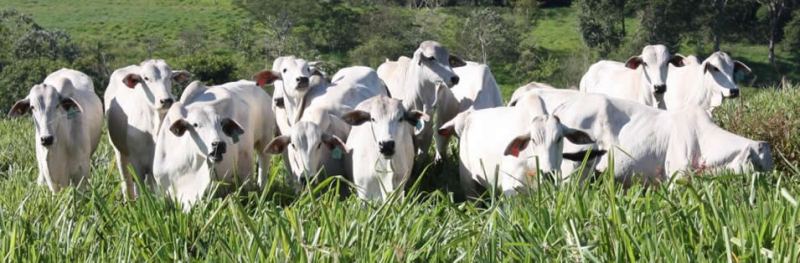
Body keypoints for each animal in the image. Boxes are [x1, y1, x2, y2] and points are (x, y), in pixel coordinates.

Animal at [104, 59, 191, 200]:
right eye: (146, 78)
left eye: (170, 77)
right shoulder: (136, 162)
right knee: (127, 181)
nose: (166, 100)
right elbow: (139, 185)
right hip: (119, 152)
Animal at [154, 80, 278, 208]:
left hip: (261, 144)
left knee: (261, 168)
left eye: (221, 124)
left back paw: (261, 188)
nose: (219, 144)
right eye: (195, 125)